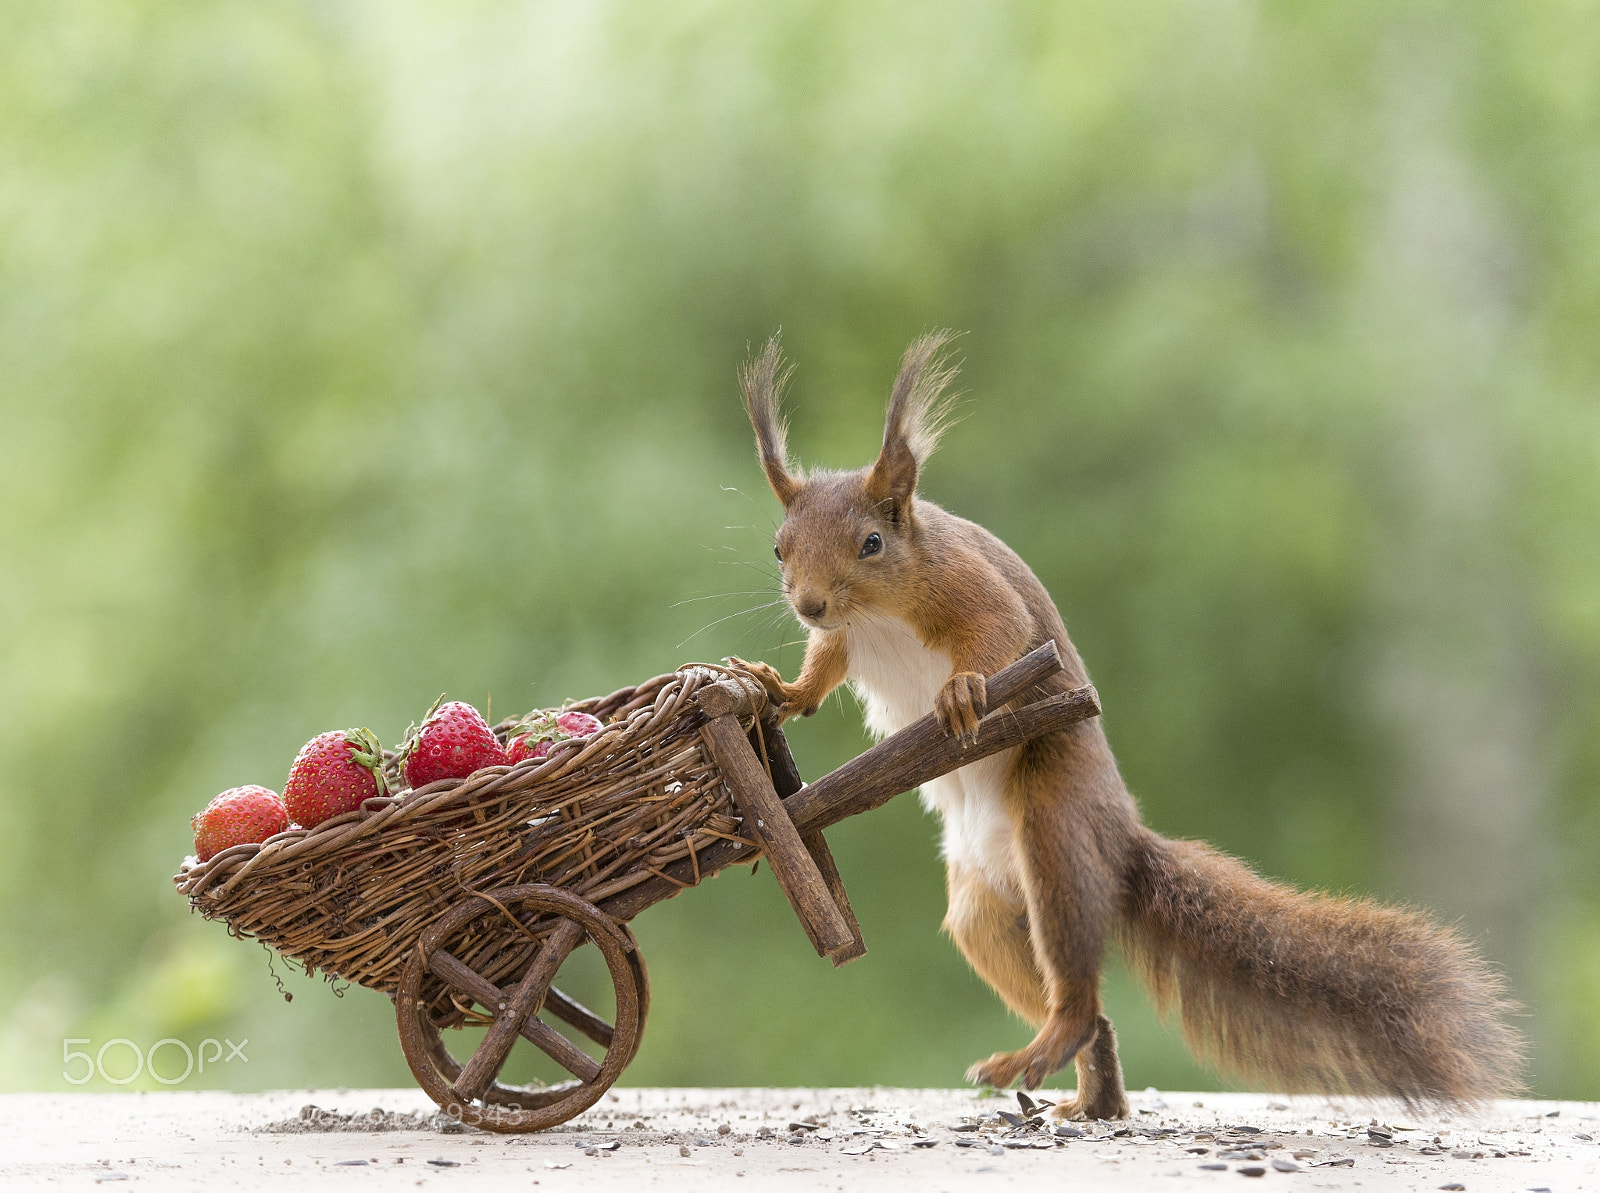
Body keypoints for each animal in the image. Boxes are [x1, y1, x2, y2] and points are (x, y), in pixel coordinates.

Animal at [728, 331, 1521, 1119]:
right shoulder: (845, 639)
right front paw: (775, 689)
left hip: (1056, 823)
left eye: (870, 543)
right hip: (986, 908)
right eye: (779, 548)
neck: (877, 615)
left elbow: (1001, 630)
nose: (808, 603)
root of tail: (1120, 836)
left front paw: (961, 691)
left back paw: (1052, 1053)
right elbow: (823, 668)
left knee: (1081, 992)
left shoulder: (967, 586)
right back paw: (1084, 1095)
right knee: (1084, 1012)